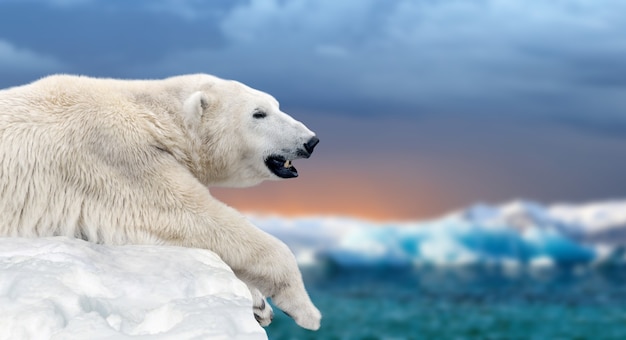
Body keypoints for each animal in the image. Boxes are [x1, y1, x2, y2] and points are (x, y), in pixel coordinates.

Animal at [0, 73, 322, 330]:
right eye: (259, 113)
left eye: (276, 105)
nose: (311, 141)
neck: (150, 114)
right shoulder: (115, 156)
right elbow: (189, 215)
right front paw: (306, 310)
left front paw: (259, 305)